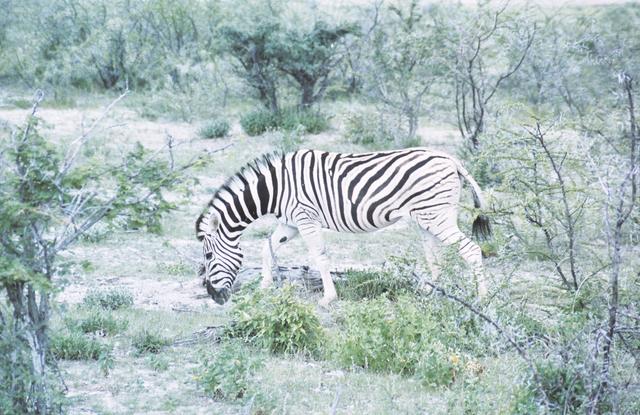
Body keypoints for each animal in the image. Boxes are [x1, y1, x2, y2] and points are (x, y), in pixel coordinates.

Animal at [195, 148, 490, 308]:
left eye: (208, 256)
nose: (214, 297)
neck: (275, 188)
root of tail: (451, 159)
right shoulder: (290, 222)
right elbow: (266, 247)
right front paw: (264, 287)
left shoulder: (305, 217)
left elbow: (320, 257)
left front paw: (328, 298)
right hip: (427, 217)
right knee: (435, 257)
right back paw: (429, 294)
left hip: (437, 215)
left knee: (471, 250)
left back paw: (482, 299)